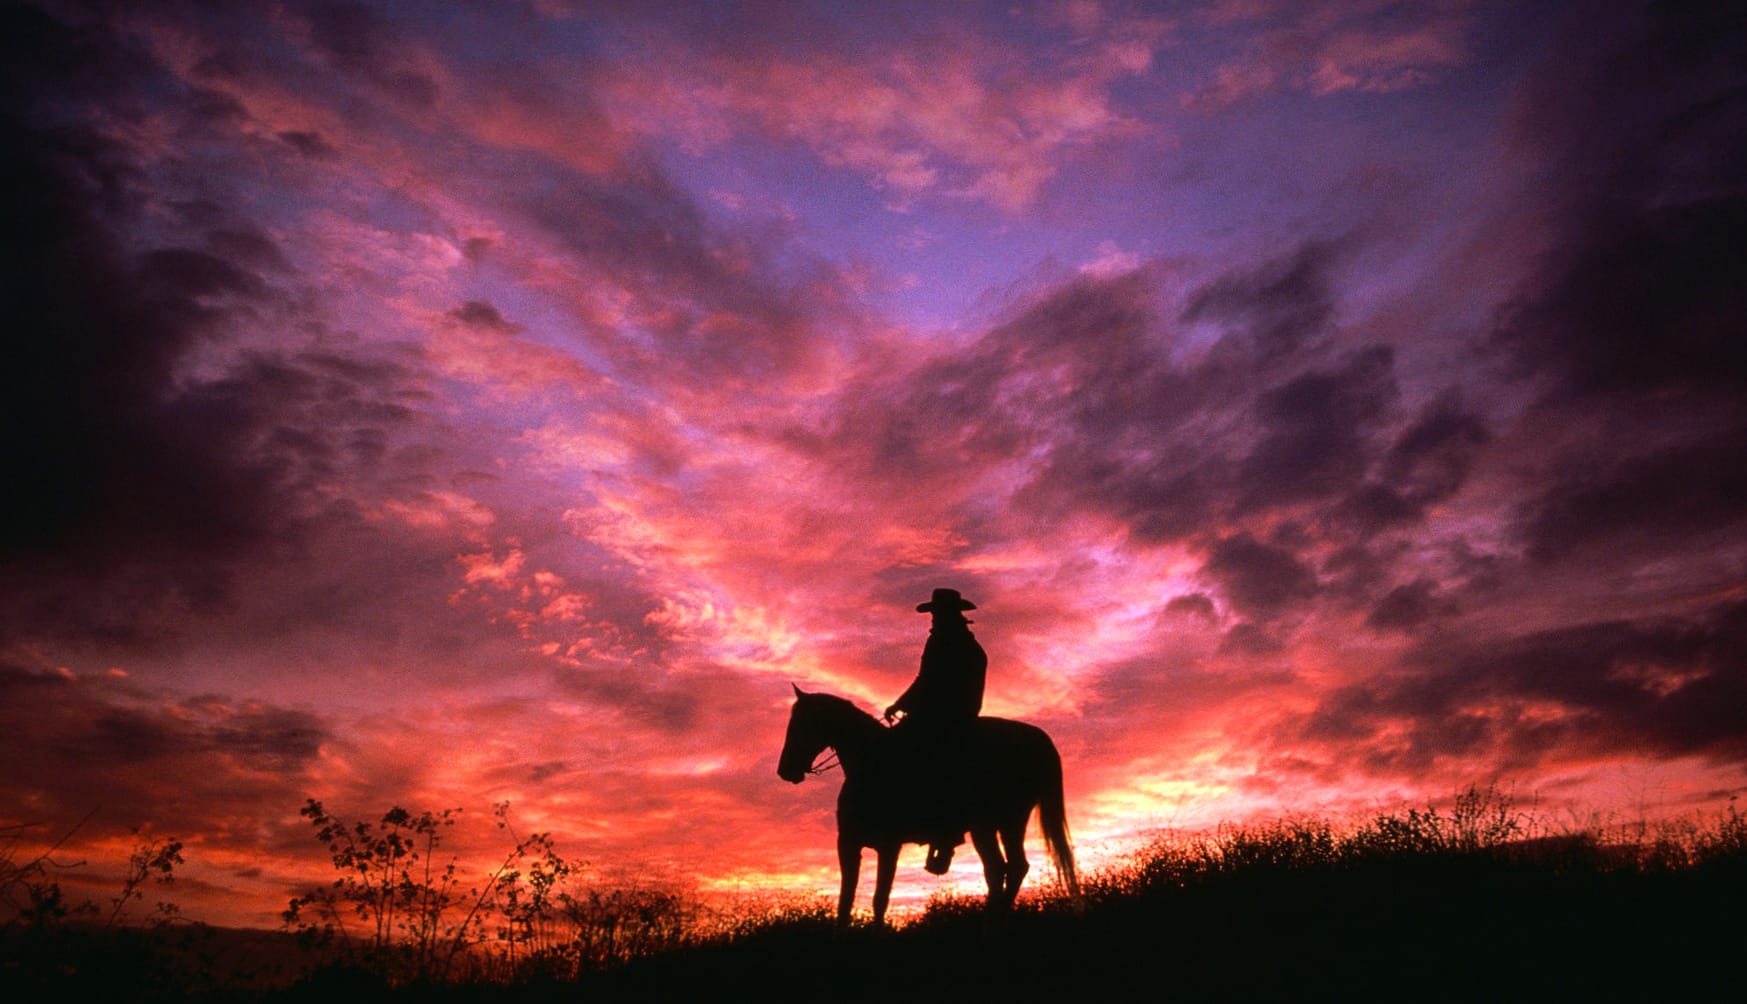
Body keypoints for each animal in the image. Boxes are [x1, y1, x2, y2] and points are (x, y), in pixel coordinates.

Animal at [779, 684, 1076, 928]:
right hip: (997, 826)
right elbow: (846, 899)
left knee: (1005, 869)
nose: (784, 770)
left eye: (799, 725)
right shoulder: (849, 843)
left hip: (999, 823)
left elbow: (879, 899)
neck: (869, 763)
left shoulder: (889, 845)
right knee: (1004, 869)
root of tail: (1039, 739)